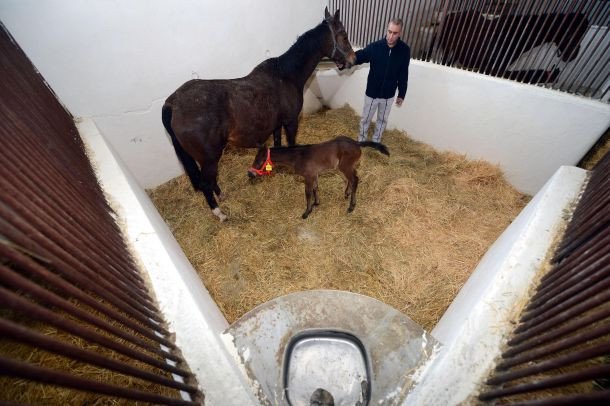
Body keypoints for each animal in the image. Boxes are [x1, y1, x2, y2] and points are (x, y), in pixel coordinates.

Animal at [162, 7, 354, 222]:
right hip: (210, 158)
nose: (353, 59)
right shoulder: (291, 122)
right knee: (206, 184)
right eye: (344, 36)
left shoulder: (277, 125)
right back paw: (219, 212)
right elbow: (292, 145)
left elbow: (278, 145)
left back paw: (222, 196)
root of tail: (173, 102)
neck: (285, 75)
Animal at [248, 136, 388, 219]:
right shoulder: (314, 174)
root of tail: (357, 143)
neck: (298, 156)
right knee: (352, 178)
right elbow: (316, 188)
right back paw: (347, 193)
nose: (250, 174)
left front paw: (306, 212)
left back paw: (351, 206)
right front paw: (316, 203)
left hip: (345, 166)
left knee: (355, 179)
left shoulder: (308, 176)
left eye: (259, 161)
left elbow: (308, 193)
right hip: (347, 167)